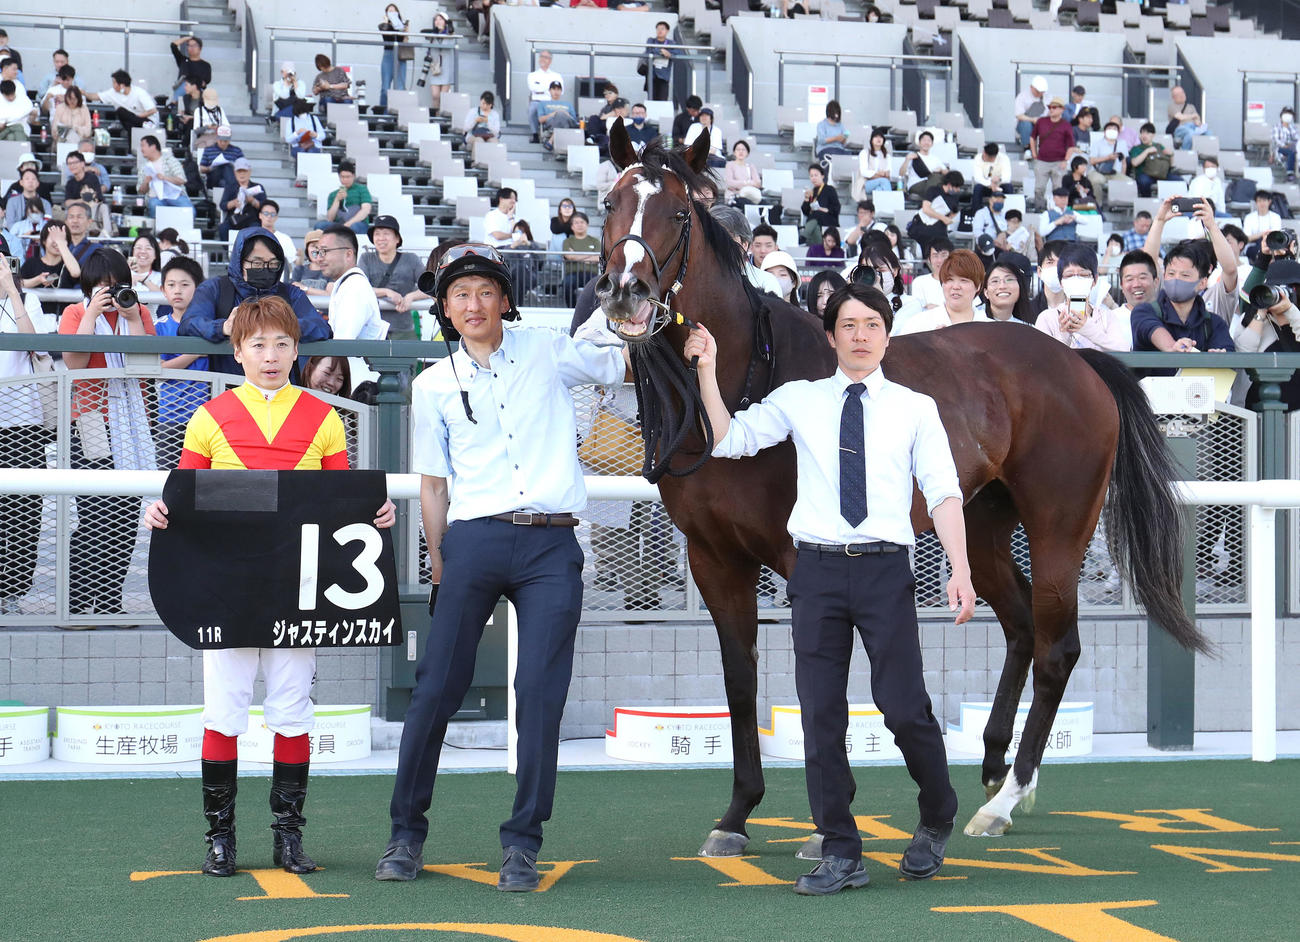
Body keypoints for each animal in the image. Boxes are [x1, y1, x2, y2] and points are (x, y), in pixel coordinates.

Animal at [592, 121, 1209, 852]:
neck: (746, 383)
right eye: (610, 204)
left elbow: (821, 680)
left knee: (1057, 646)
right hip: (978, 526)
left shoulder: (804, 555)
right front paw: (737, 815)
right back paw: (994, 764)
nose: (625, 290)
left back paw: (1008, 796)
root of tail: (1080, 362)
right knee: (1023, 627)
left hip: (1060, 524)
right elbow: (740, 676)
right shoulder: (714, 557)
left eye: (680, 214)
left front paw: (827, 825)